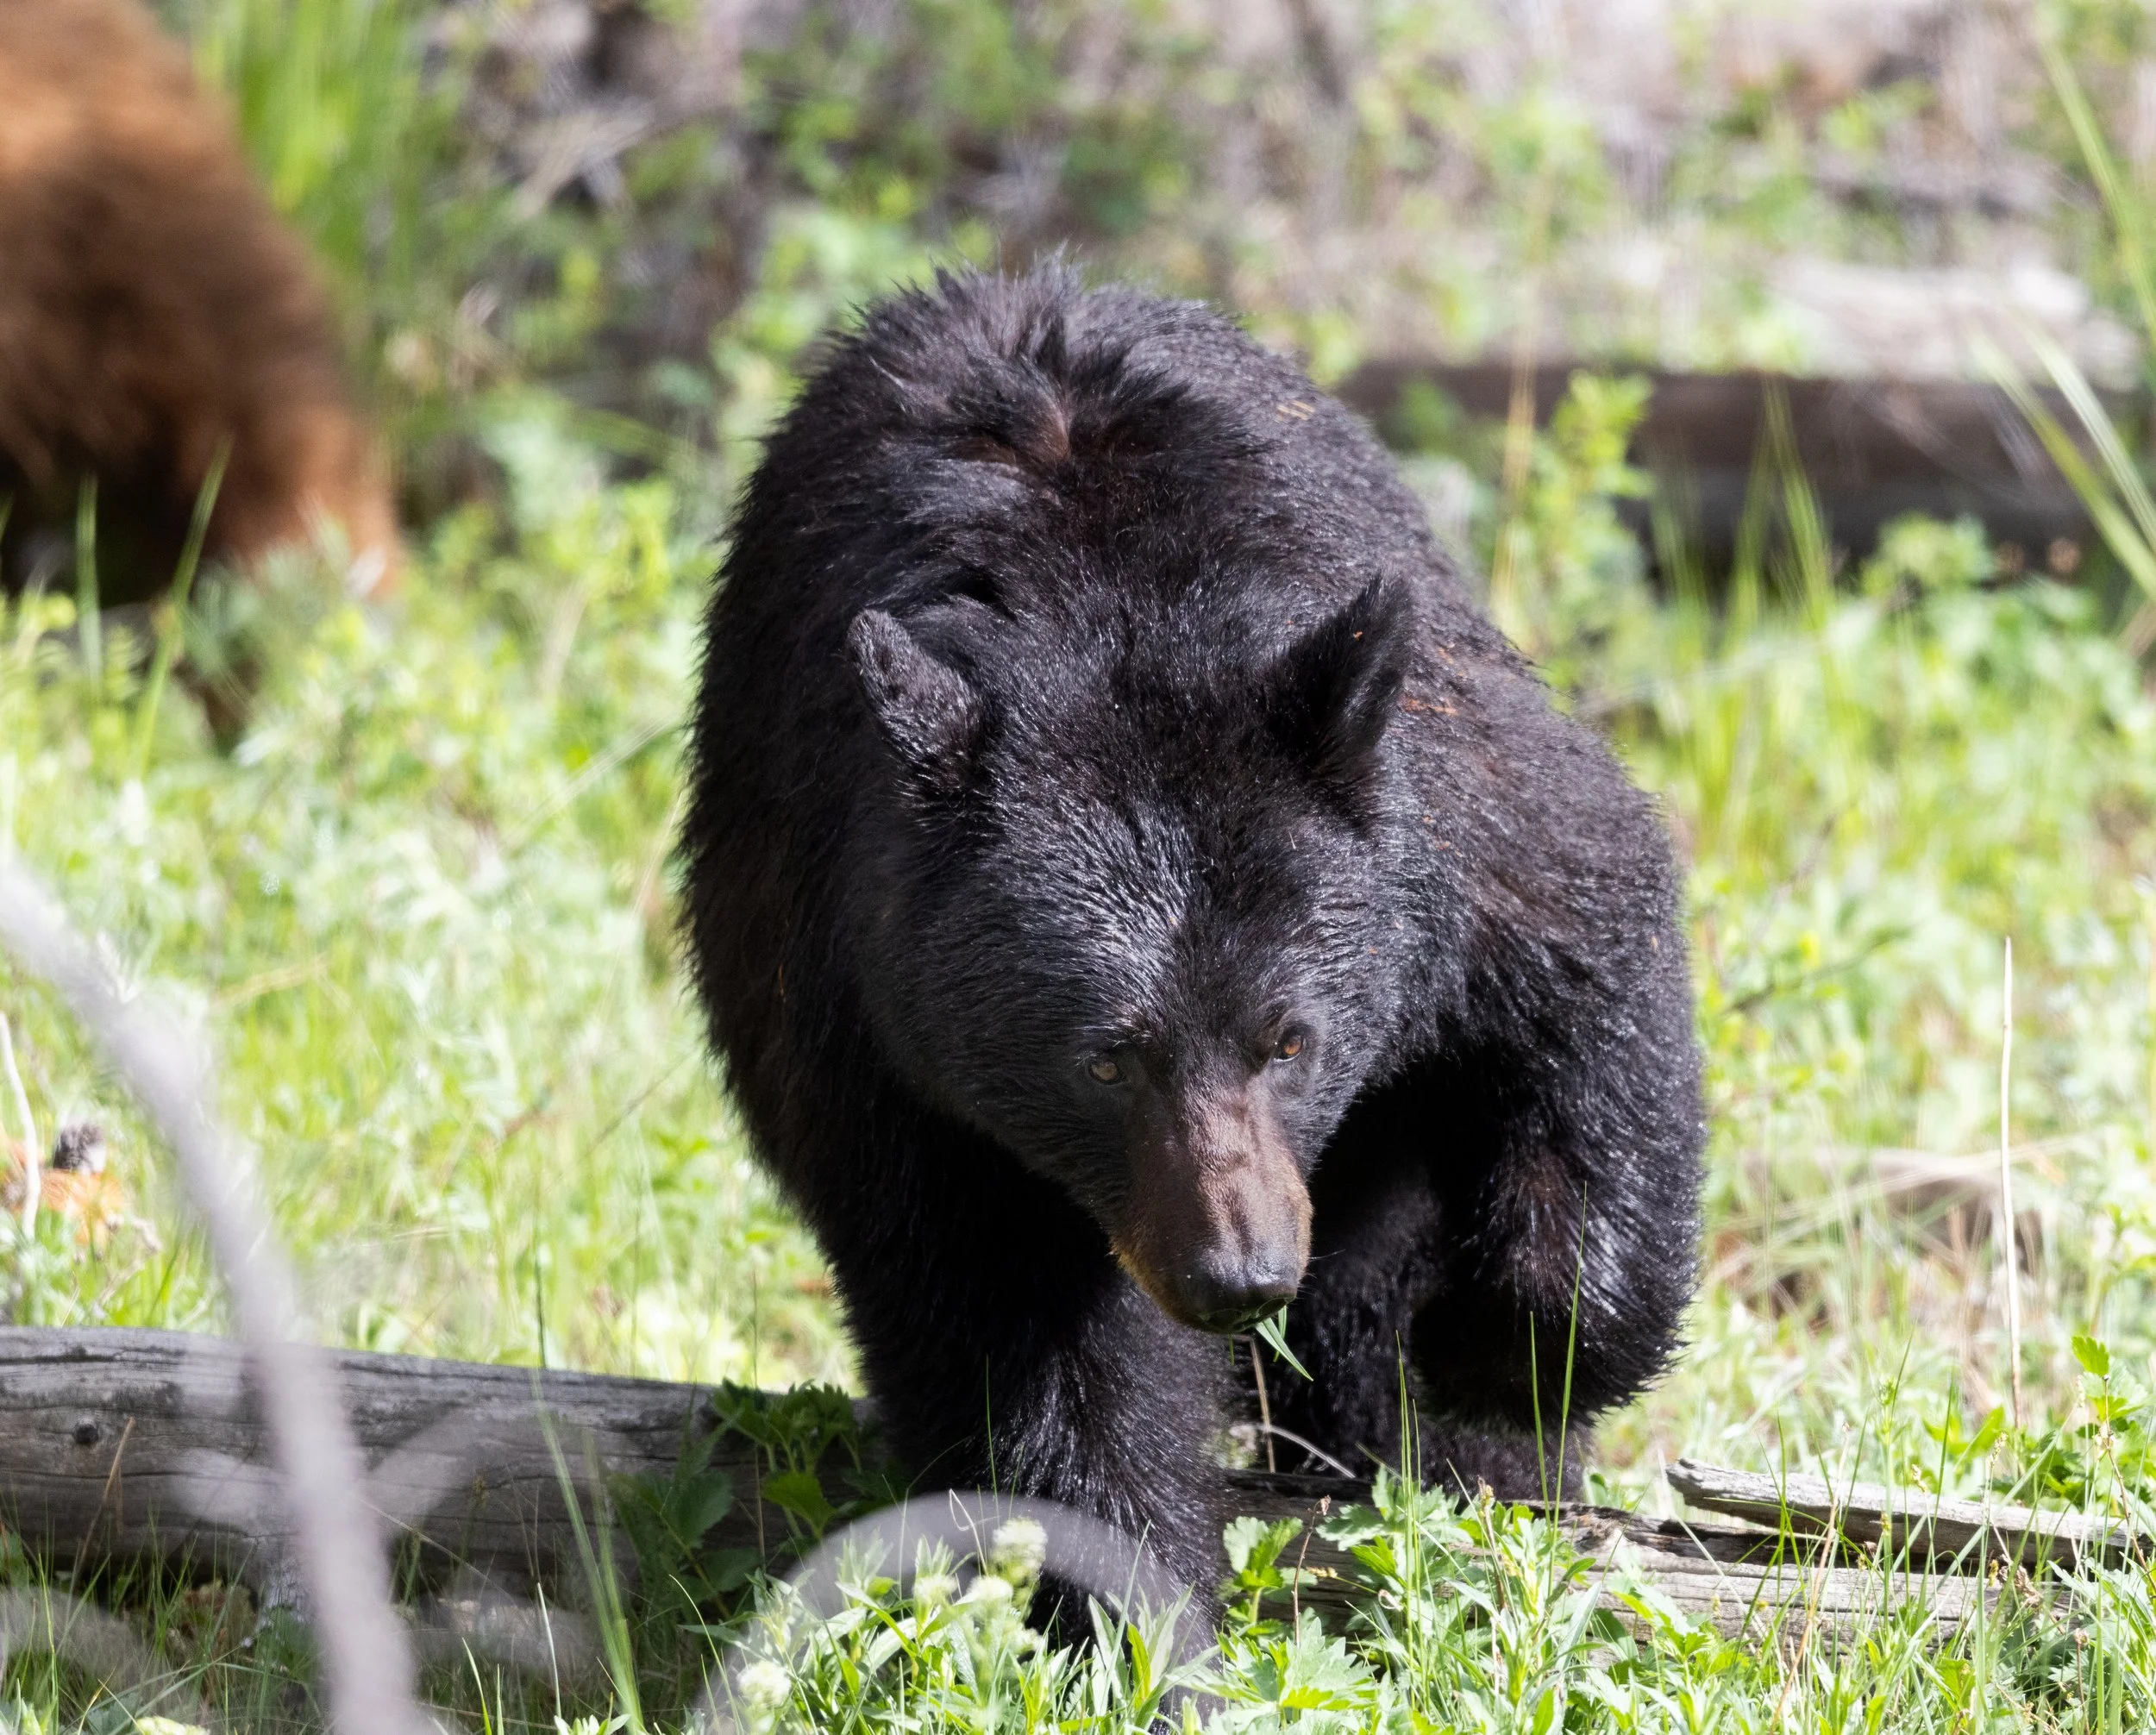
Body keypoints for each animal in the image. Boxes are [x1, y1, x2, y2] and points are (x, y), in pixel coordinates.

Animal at [682, 268, 1705, 1605]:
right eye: (1104, 1058)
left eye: (1291, 1042)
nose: (1240, 1275)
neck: (1111, 611)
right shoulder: (871, 1025)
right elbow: (1021, 1338)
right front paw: (1127, 1598)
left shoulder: (1455, 815)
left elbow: (1593, 967)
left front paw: (1504, 1357)